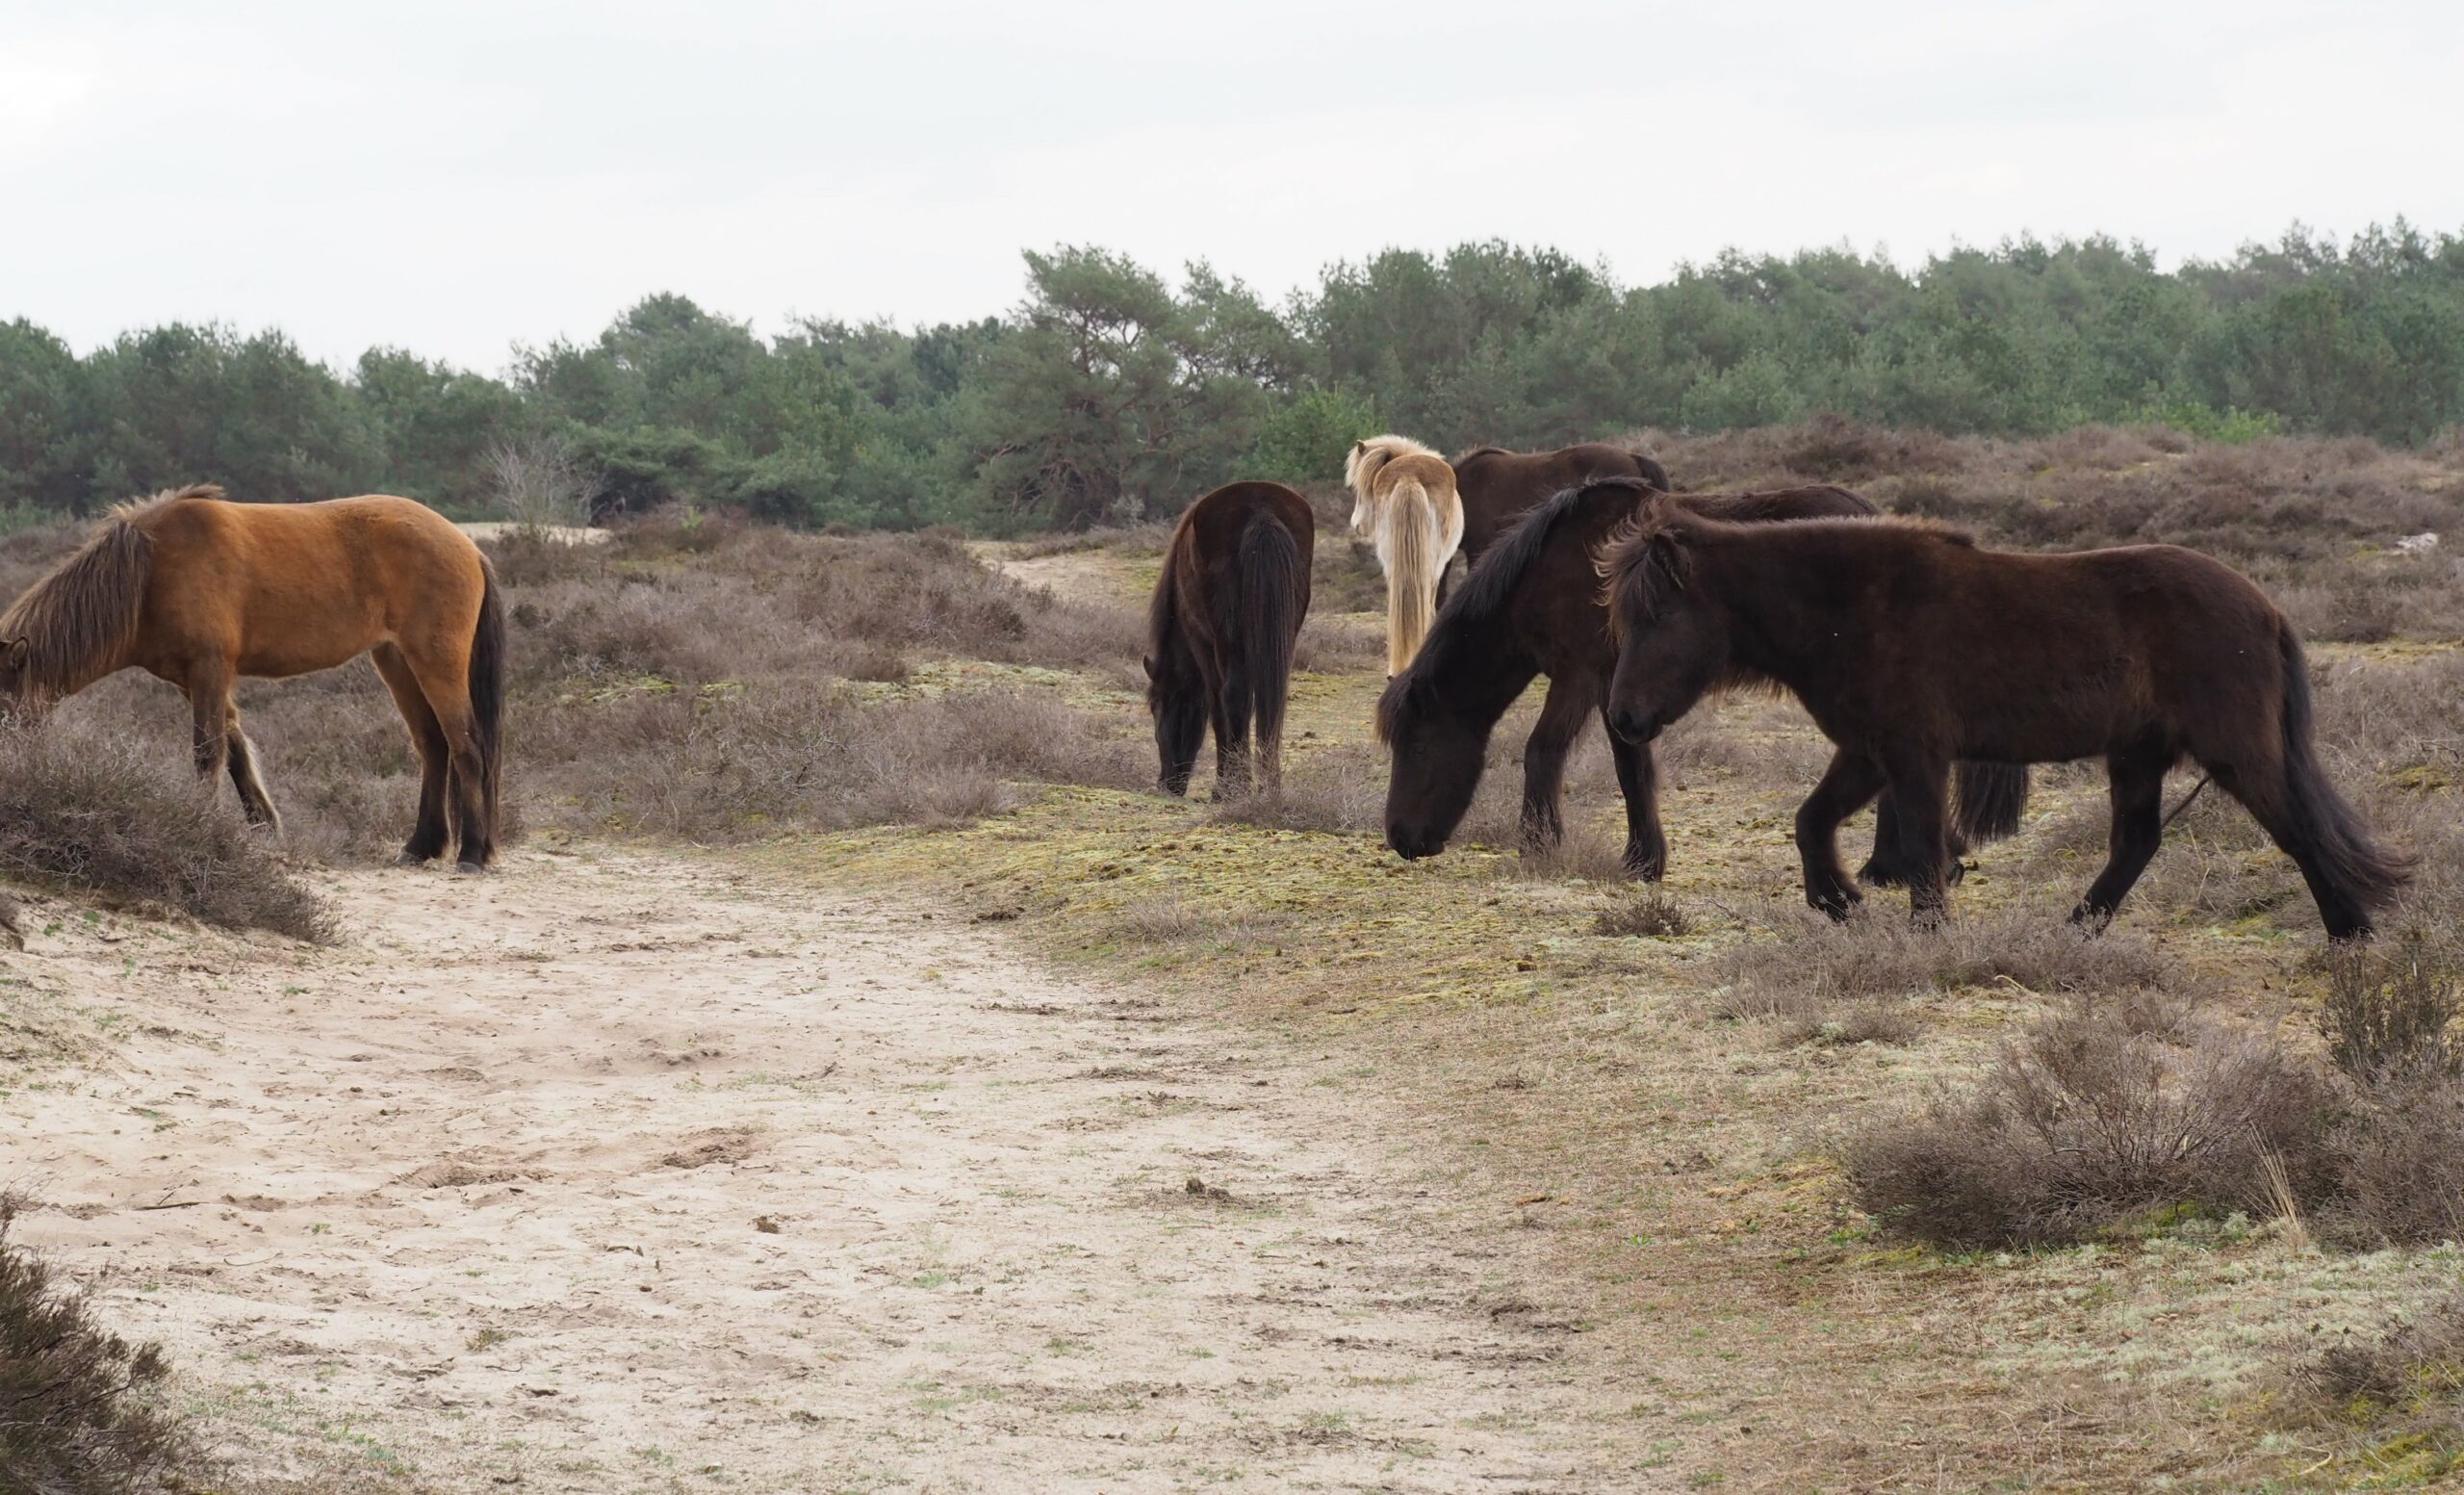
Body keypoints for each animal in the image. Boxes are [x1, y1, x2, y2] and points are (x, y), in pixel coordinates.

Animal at [0, 485, 508, 872]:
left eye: (4, 708)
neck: (153, 571)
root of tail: (467, 545)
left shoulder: (209, 669)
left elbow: (208, 752)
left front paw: (201, 827)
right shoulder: (193, 679)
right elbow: (235, 749)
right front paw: (263, 826)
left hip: (436, 662)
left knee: (466, 746)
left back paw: (472, 853)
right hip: (396, 661)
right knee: (433, 746)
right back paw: (421, 846)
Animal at [1145, 482, 1314, 799]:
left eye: (1155, 707)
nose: (1167, 784)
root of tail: (1261, 510)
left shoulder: (1201, 641)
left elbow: (1217, 707)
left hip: (1227, 640)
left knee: (1235, 696)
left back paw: (1232, 788)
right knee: (1272, 701)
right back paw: (1269, 785)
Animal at [1378, 477, 2027, 880]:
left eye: (1418, 745)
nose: (1401, 839)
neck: (1558, 566)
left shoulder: (1587, 677)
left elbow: (1559, 753)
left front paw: (1556, 847)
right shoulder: (1607, 687)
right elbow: (1613, 764)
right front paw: (1631, 858)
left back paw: (1892, 865)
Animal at [1598, 494, 2410, 937]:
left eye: (1658, 615)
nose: (1624, 717)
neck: (1850, 607)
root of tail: (2265, 606)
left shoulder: (1914, 754)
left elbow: (1925, 847)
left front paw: (1923, 931)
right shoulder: (1867, 750)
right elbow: (1810, 821)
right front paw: (1839, 900)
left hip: (2234, 751)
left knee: (2295, 828)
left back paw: (2351, 933)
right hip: (2138, 753)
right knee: (2137, 842)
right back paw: (2076, 931)